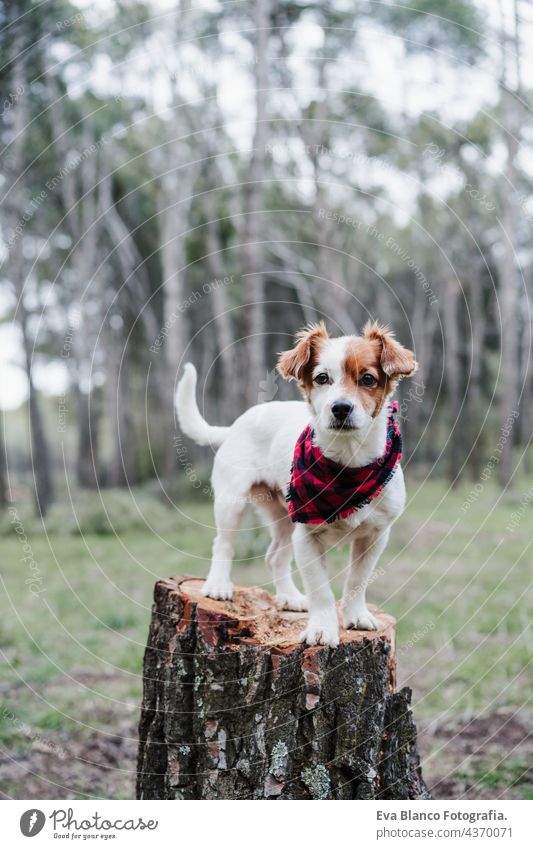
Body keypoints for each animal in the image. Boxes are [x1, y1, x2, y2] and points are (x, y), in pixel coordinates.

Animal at [177, 322, 418, 644]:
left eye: (368, 379)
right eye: (322, 378)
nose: (341, 408)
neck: (347, 465)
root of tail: (237, 424)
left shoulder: (376, 535)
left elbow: (357, 579)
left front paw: (356, 615)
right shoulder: (307, 536)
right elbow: (321, 590)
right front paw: (322, 628)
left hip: (283, 516)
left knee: (274, 557)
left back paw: (290, 597)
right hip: (232, 502)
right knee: (223, 544)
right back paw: (218, 585)